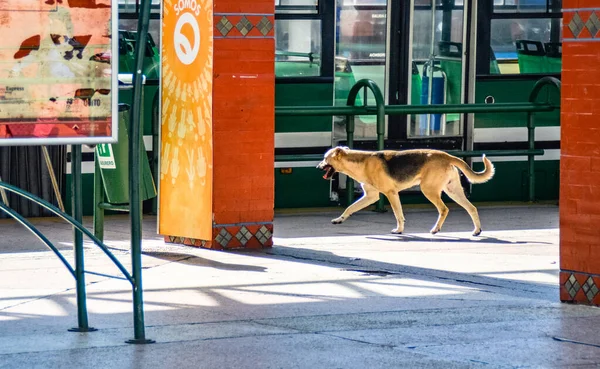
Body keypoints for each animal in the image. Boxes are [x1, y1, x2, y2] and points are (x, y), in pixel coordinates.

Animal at [316, 147, 494, 236]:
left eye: (325, 159)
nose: (317, 166)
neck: (361, 163)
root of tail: (447, 156)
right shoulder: (371, 196)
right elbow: (349, 208)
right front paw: (339, 219)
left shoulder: (390, 193)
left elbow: (398, 215)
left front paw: (399, 230)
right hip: (453, 191)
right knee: (472, 208)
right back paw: (477, 231)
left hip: (429, 190)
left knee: (444, 209)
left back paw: (436, 229)